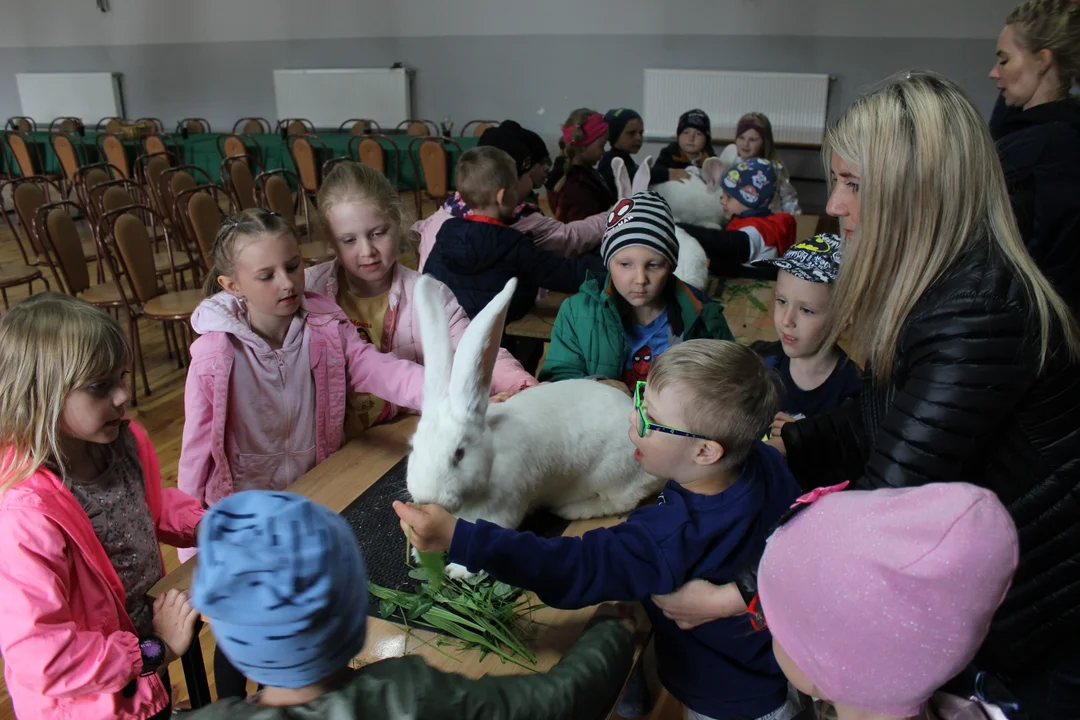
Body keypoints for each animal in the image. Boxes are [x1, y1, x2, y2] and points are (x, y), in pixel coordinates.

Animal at [408, 273, 660, 578]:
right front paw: (418, 553)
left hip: (610, 475)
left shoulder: (499, 513)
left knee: (620, 501)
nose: (427, 497)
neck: (490, 459)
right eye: (414, 447)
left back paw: (570, 510)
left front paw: (458, 570)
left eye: (459, 454)